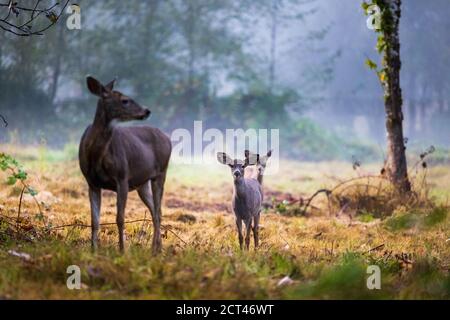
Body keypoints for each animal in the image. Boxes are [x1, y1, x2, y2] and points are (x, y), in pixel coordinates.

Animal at [78, 76, 171, 254]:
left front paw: (122, 250)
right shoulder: (92, 182)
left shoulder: (122, 177)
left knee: (158, 212)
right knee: (155, 211)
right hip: (142, 183)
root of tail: (168, 138)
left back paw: (156, 250)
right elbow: (94, 221)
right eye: (125, 100)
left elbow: (120, 218)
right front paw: (93, 250)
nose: (147, 111)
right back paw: (156, 248)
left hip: (161, 172)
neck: (96, 155)